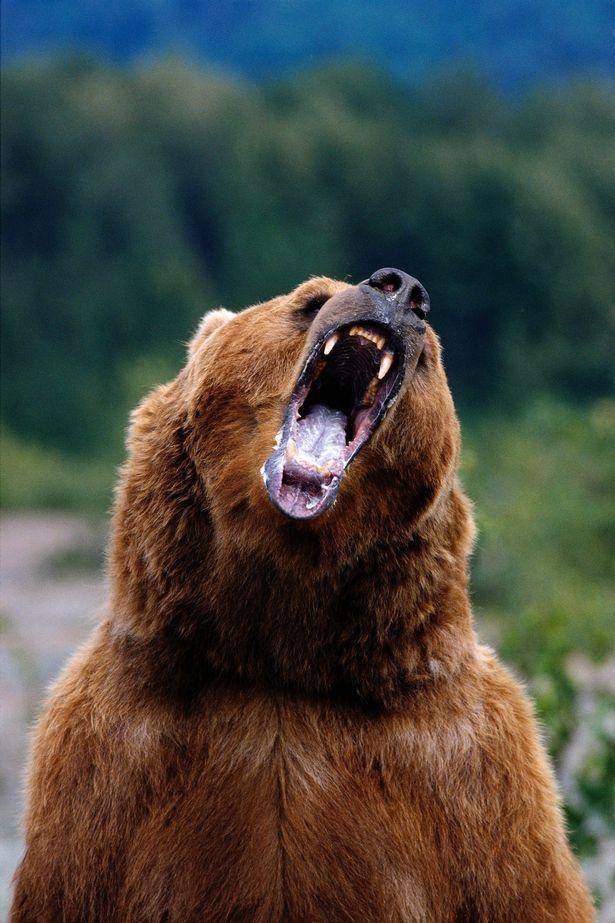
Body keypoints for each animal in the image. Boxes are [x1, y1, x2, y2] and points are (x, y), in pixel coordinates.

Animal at [12, 268, 594, 921]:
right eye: (310, 299)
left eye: (431, 356)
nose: (400, 289)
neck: (279, 654)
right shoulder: (108, 767)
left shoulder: (474, 779)